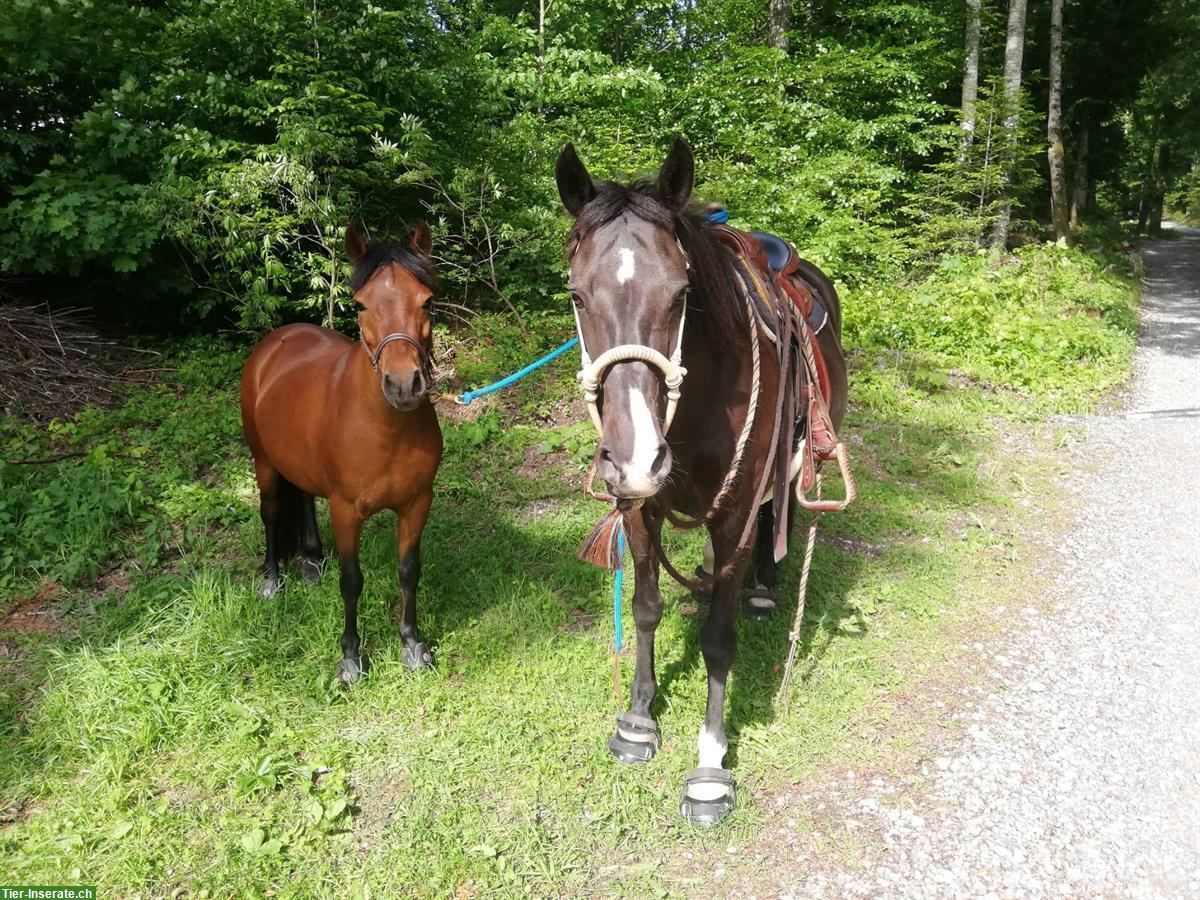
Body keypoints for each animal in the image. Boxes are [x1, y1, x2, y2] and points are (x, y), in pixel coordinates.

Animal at [239, 222, 443, 684]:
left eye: (427, 301)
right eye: (361, 304)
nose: (403, 384)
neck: (386, 431)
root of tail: (275, 342)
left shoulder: (417, 503)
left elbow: (409, 571)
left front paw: (412, 645)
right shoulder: (346, 511)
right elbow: (352, 580)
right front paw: (350, 657)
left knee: (302, 495)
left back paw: (312, 561)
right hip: (264, 462)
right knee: (272, 512)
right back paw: (272, 580)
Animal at [556, 138, 848, 825]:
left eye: (681, 292)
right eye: (577, 295)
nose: (636, 455)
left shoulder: (734, 511)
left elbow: (718, 640)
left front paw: (711, 764)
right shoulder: (638, 504)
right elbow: (645, 607)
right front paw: (638, 720)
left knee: (774, 518)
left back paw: (763, 590)